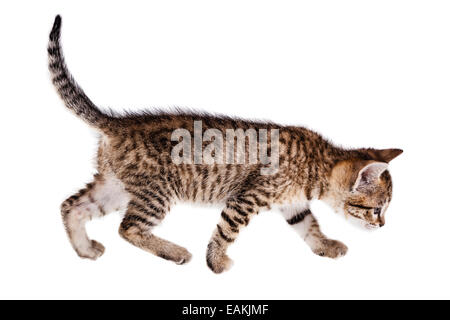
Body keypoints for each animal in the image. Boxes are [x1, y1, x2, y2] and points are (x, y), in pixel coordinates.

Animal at [48, 15, 400, 272]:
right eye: (377, 209)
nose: (383, 226)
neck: (319, 163)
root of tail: (116, 124)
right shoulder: (247, 197)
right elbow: (226, 229)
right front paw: (216, 262)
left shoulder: (293, 203)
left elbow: (309, 225)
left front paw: (324, 245)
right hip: (157, 191)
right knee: (128, 228)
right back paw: (175, 252)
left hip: (116, 186)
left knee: (71, 206)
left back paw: (84, 249)